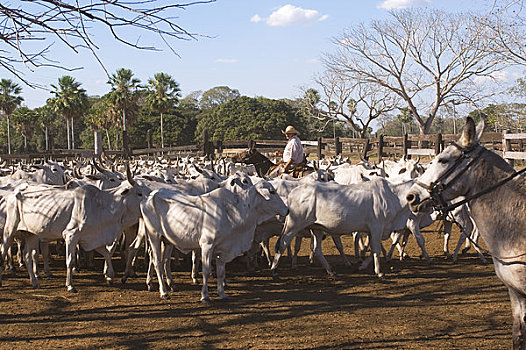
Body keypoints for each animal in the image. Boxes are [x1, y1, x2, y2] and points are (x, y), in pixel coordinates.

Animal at [141, 180, 288, 300]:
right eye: (272, 192)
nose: (287, 210)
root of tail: (149, 196)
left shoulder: (223, 248)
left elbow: (221, 272)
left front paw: (222, 293)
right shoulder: (207, 245)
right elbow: (206, 271)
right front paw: (205, 295)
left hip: (167, 240)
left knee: (165, 261)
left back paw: (171, 285)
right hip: (154, 236)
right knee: (157, 262)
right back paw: (163, 292)